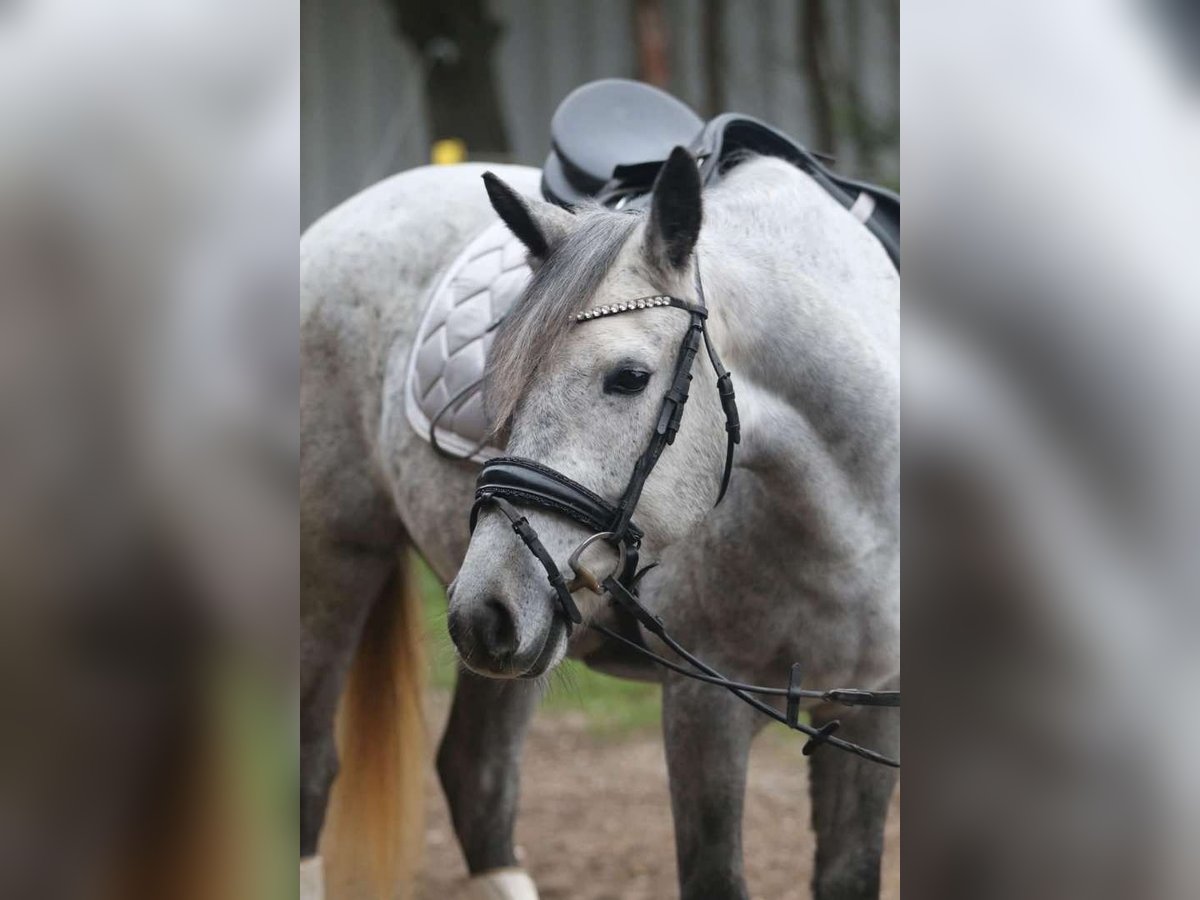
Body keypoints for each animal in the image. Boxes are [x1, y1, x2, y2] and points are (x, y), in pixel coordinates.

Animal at [300, 148, 899, 899]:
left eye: (629, 377)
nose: (483, 612)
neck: (857, 525)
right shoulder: (705, 709)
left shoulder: (871, 714)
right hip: (337, 559)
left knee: (476, 775)